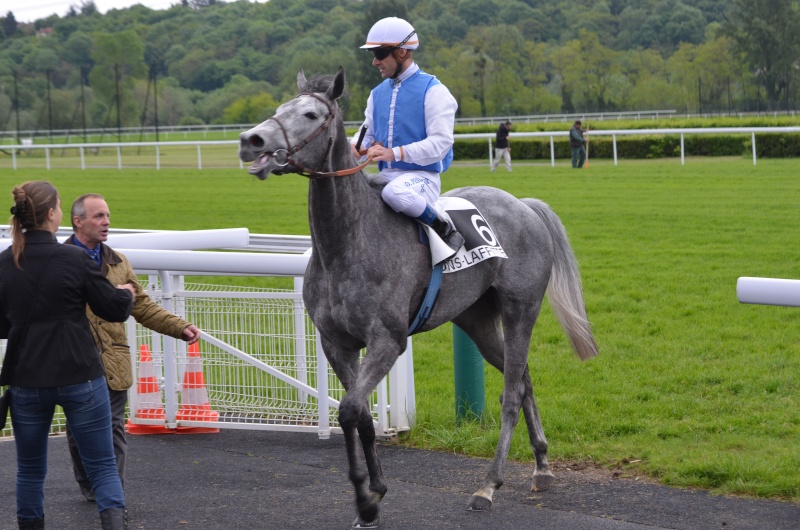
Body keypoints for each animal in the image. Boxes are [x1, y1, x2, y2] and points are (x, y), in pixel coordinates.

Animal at [234, 68, 596, 524]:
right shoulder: (336, 343)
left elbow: (349, 409)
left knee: (512, 394)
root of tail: (524, 205)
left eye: (311, 114)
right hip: (477, 320)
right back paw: (542, 465)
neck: (347, 245)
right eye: (280, 108)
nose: (251, 140)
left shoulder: (388, 341)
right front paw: (376, 492)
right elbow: (362, 414)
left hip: (521, 310)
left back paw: (488, 485)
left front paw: (365, 497)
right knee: (525, 379)